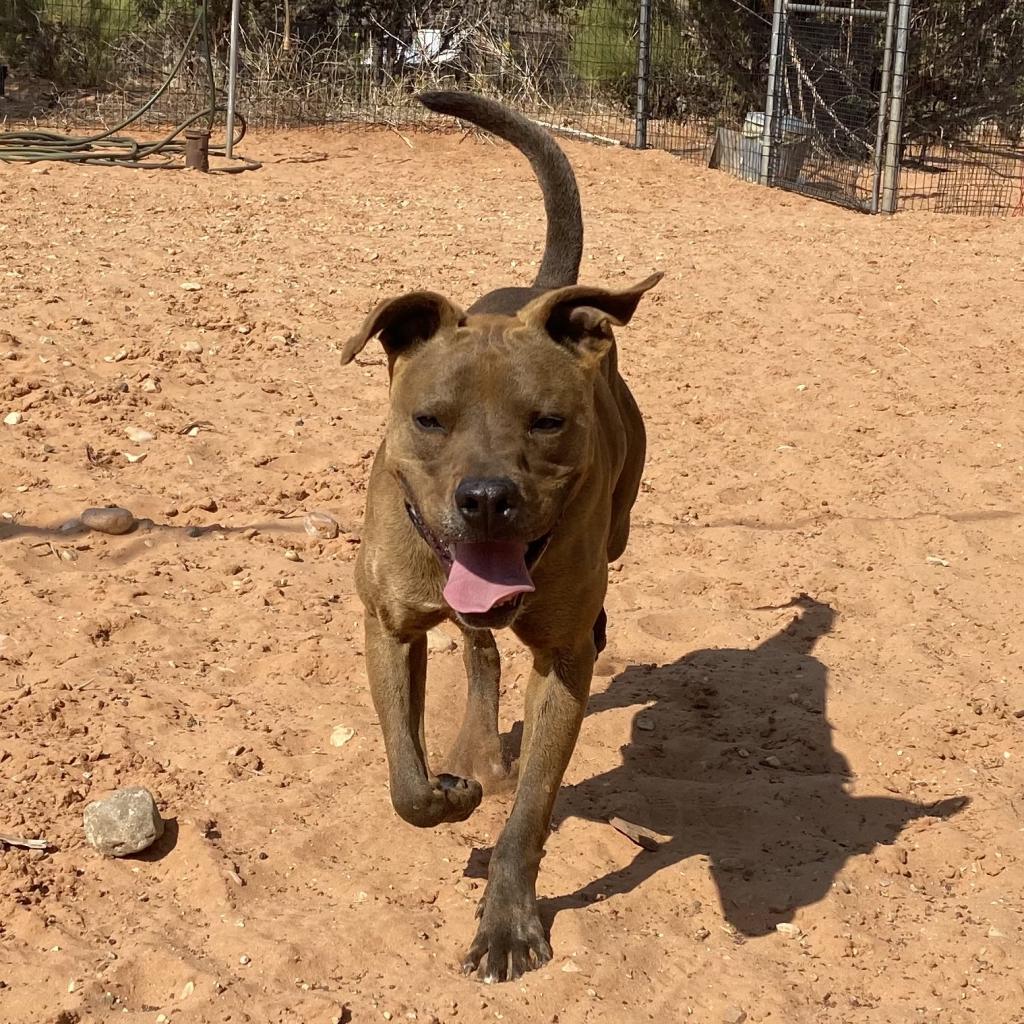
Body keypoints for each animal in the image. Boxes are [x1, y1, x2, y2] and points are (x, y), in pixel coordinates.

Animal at [342, 96, 663, 983]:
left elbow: (529, 816)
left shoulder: (561, 669)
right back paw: (476, 741)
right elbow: (406, 783)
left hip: (618, 530)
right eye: (430, 419)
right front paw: (451, 791)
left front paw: (508, 922)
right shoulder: (389, 624)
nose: (487, 499)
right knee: (478, 649)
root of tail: (543, 288)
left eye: (546, 421)